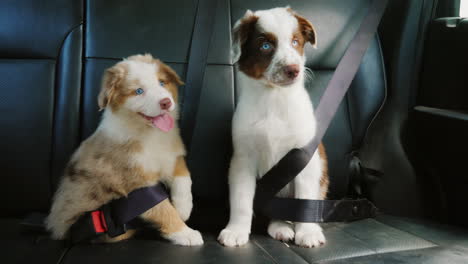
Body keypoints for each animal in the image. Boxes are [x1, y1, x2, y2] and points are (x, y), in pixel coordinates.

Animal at [46, 54, 205, 246]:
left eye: (162, 83)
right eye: (139, 91)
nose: (166, 102)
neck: (149, 134)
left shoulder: (172, 156)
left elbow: (184, 178)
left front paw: (184, 208)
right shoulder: (136, 184)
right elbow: (162, 208)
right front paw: (185, 233)